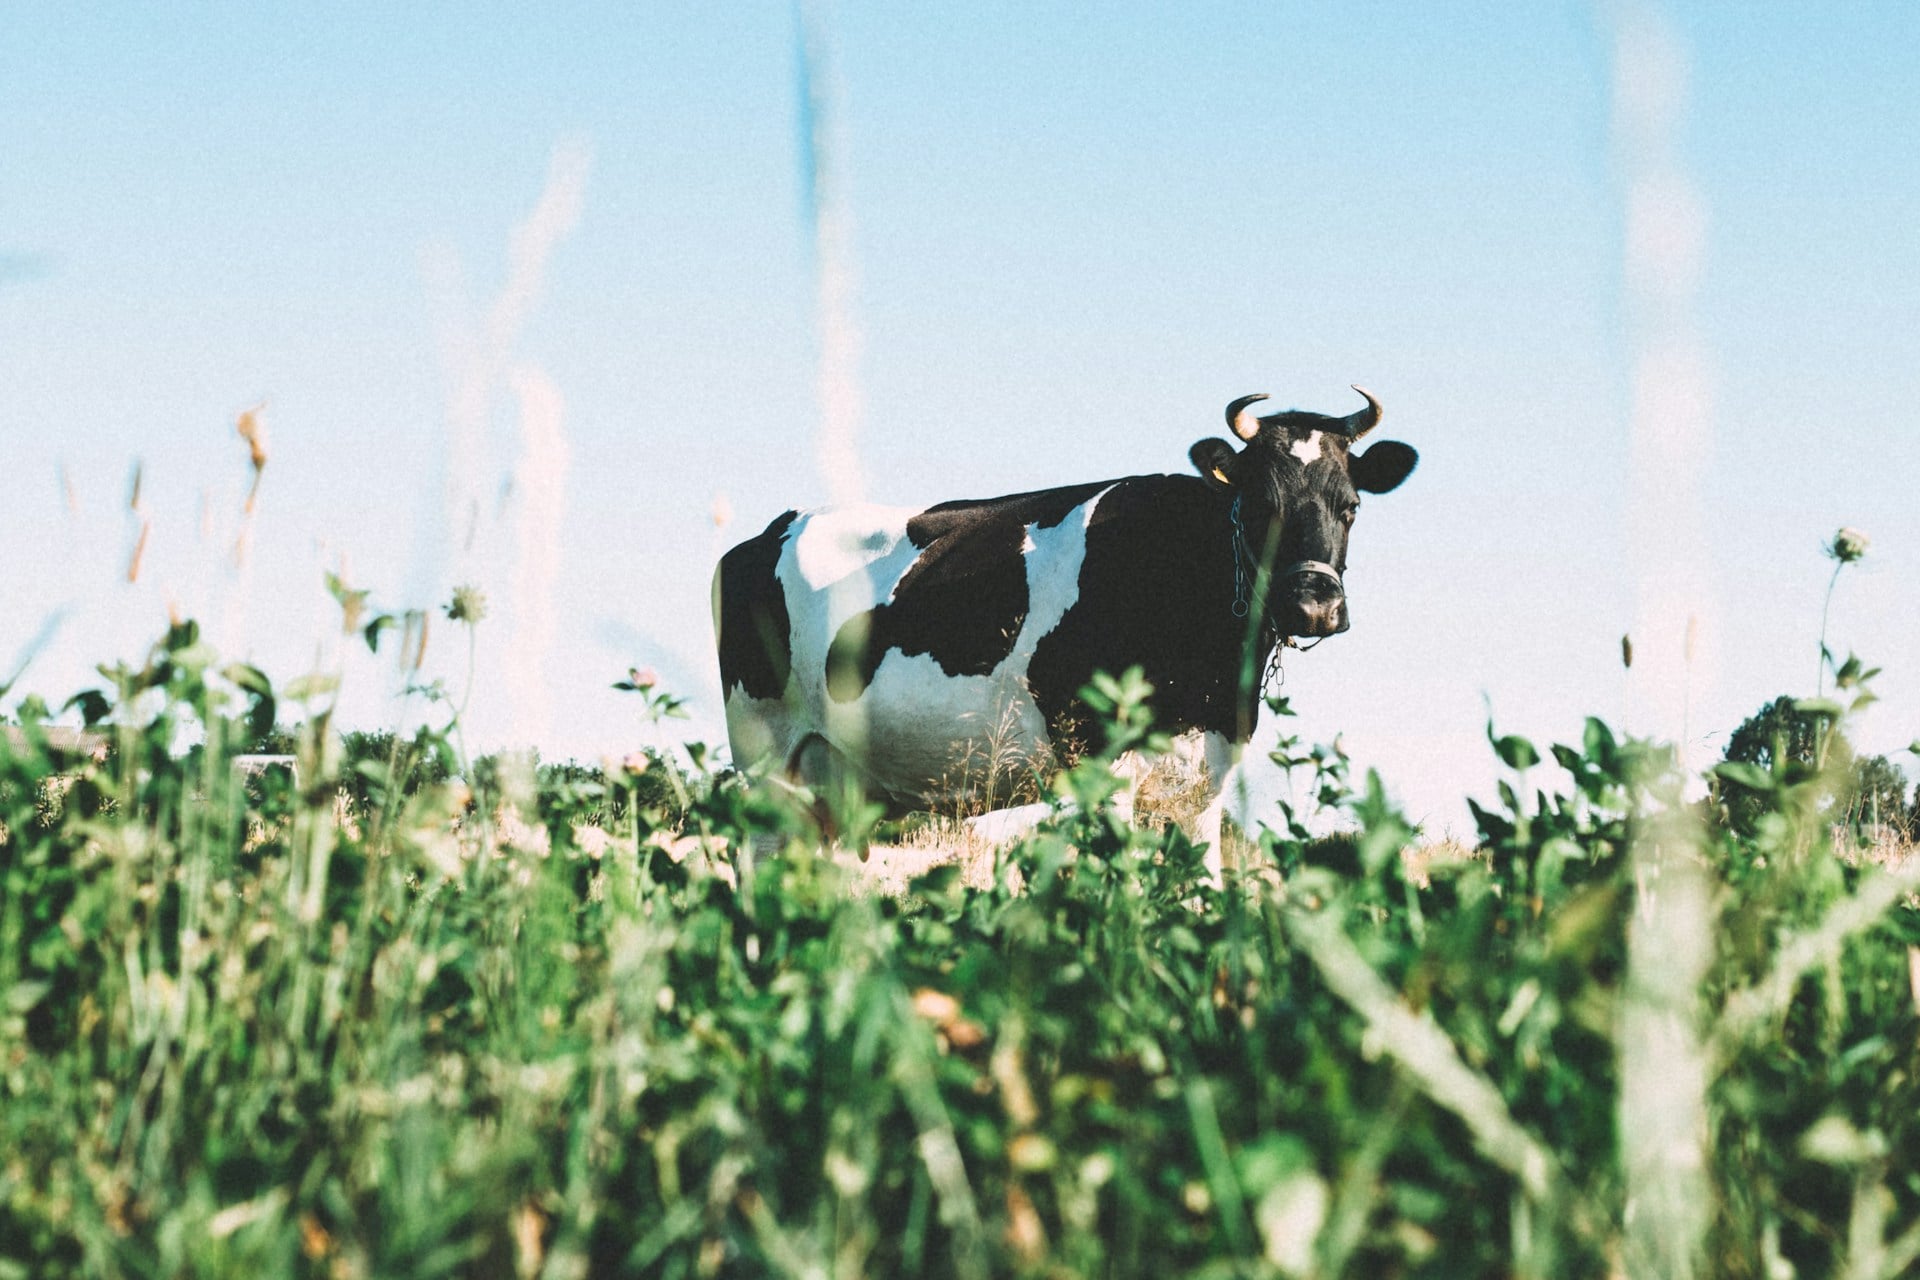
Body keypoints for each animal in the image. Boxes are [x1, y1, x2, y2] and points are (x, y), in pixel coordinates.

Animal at [712, 388, 1417, 878]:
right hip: (765, 754)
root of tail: (764, 533)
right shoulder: (1101, 757)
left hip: (832, 785)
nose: (1314, 606)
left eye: (1351, 506)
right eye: (1262, 505)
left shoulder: (1208, 773)